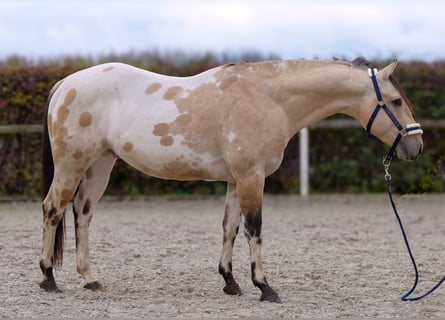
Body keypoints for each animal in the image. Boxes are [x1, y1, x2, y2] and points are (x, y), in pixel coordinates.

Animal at [40, 57, 422, 302]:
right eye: (395, 101)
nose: (416, 147)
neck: (269, 98)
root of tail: (65, 84)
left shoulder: (237, 180)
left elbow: (230, 227)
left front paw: (230, 281)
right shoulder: (252, 177)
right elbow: (254, 229)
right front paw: (265, 287)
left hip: (100, 166)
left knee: (83, 214)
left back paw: (90, 279)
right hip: (72, 165)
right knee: (53, 209)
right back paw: (48, 277)